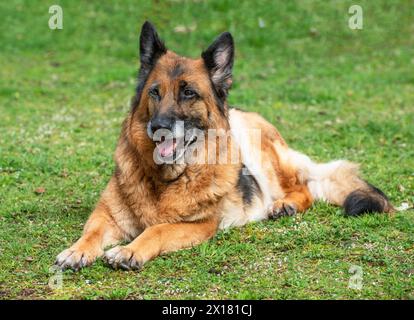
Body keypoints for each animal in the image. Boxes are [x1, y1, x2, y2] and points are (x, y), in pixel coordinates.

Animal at [55, 21, 394, 270]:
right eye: (154, 92)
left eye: (188, 93)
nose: (158, 127)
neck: (167, 180)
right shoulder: (106, 216)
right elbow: (92, 232)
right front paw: (76, 251)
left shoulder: (200, 225)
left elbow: (157, 229)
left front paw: (129, 251)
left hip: (259, 149)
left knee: (303, 188)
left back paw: (284, 205)